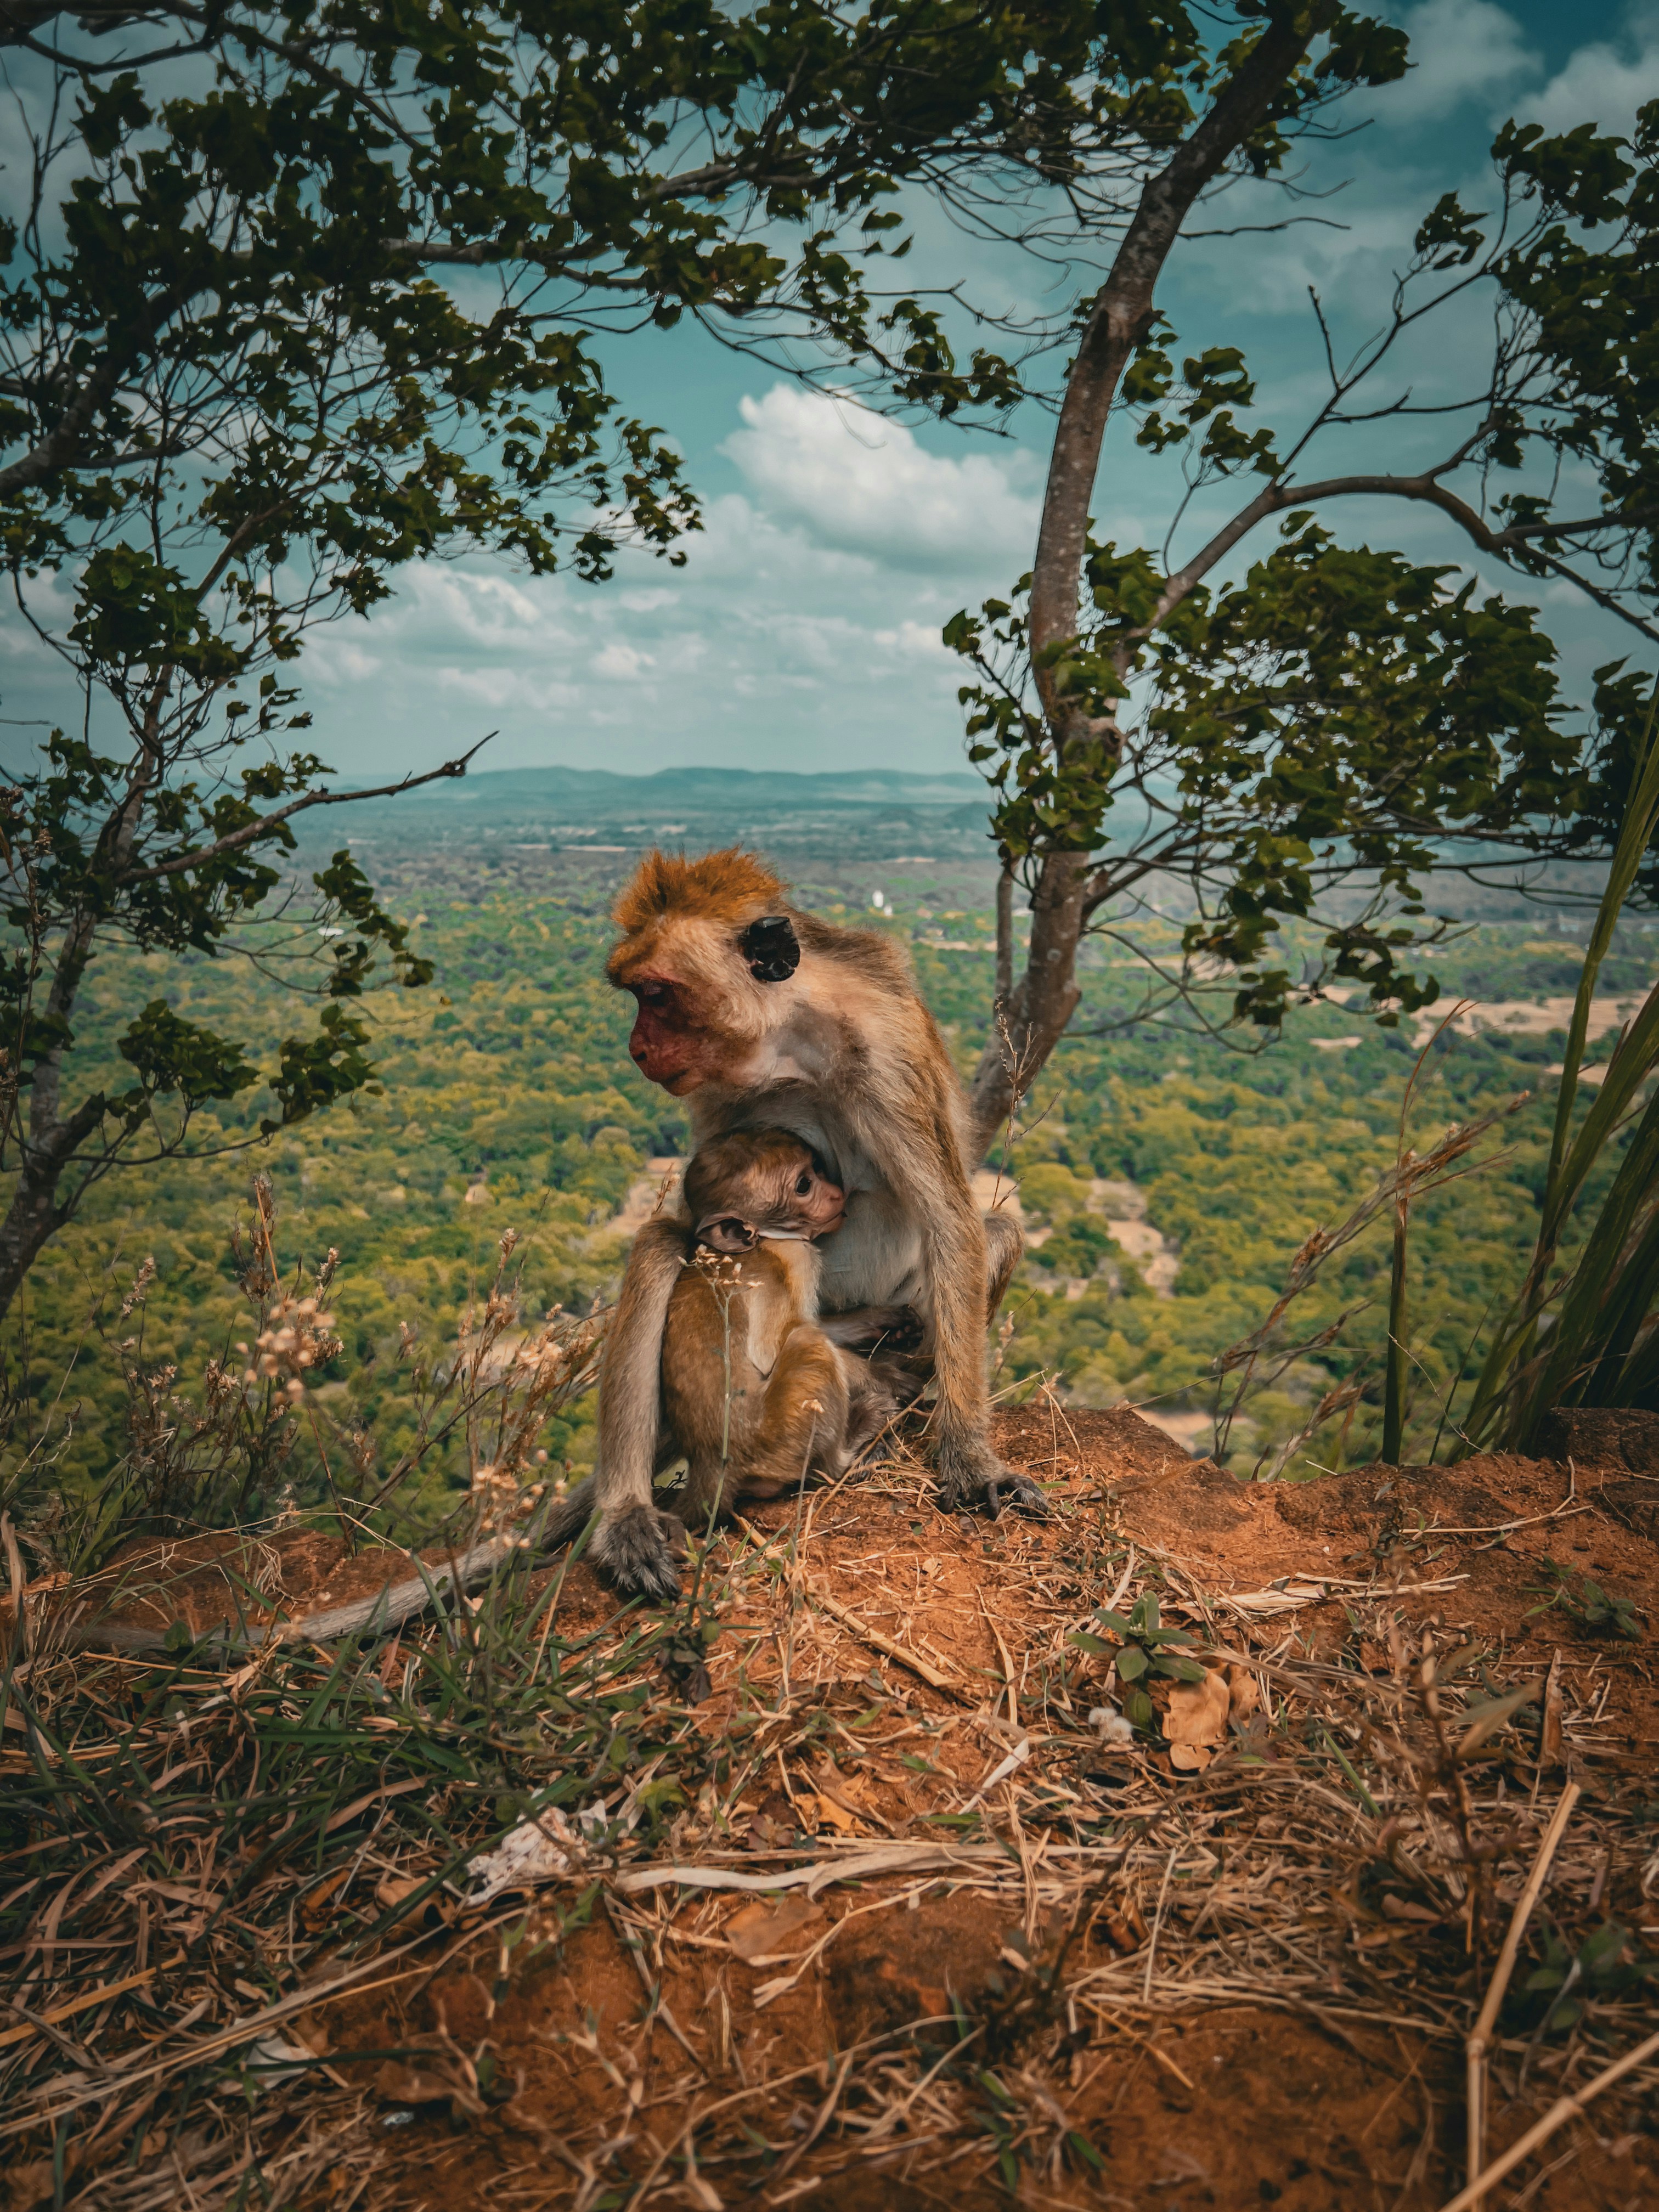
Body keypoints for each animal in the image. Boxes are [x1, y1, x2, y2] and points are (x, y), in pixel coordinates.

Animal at [659, 1127, 902, 1534]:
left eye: (816, 1169)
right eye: (804, 1185)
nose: (836, 1192)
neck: (766, 1240)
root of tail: (710, 1467)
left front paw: (879, 1322)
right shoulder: (795, 1258)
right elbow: (776, 1345)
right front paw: (882, 1377)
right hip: (782, 1437)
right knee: (807, 1342)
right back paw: (849, 1449)